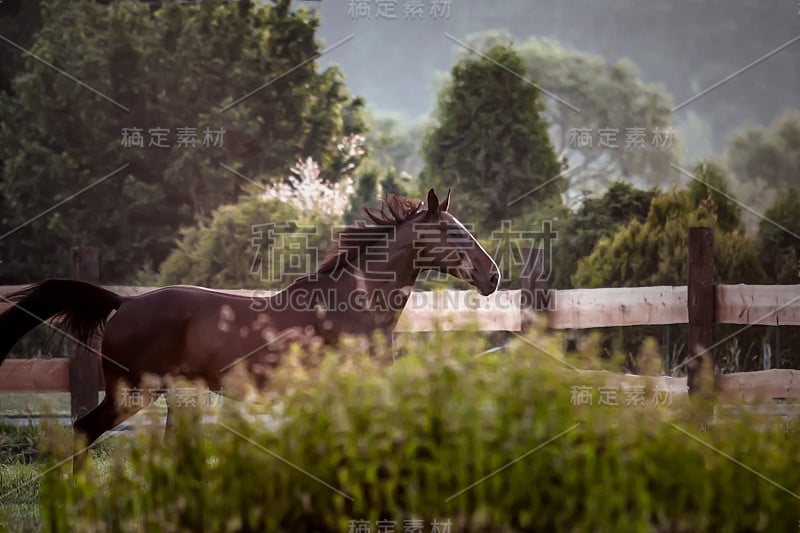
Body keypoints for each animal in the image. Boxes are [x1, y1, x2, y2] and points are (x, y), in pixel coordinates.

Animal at [0, 189, 500, 450]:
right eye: (453, 231)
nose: (492, 276)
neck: (350, 307)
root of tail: (123, 303)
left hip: (177, 395)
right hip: (133, 392)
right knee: (83, 432)